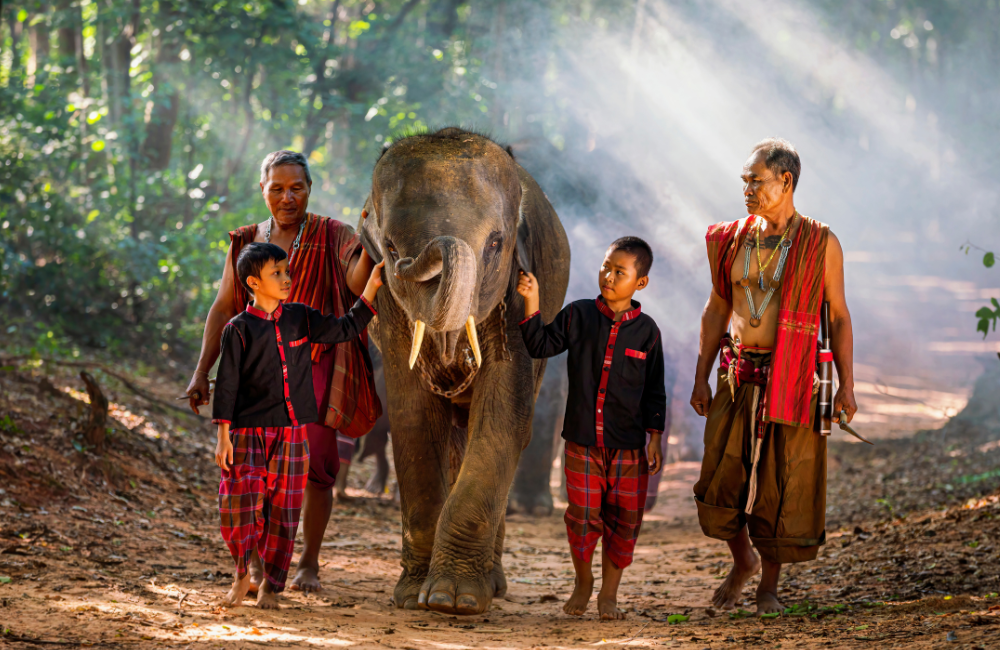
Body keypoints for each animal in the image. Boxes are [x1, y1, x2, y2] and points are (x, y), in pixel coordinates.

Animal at [358, 126, 572, 612]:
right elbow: (412, 416)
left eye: (495, 244)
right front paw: (413, 595)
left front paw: (454, 601)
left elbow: (502, 415)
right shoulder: (389, 306)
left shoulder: (519, 288)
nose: (402, 264)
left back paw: (495, 585)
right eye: (390, 247)